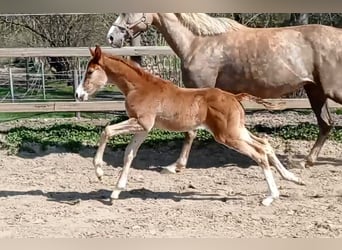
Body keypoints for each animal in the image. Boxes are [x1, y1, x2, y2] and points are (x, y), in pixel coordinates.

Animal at [75, 46, 304, 206]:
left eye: (90, 72)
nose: (78, 95)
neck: (139, 87)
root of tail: (235, 97)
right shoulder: (144, 129)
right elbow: (129, 154)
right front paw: (116, 191)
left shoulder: (141, 122)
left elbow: (107, 131)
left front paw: (99, 171)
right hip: (237, 130)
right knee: (264, 144)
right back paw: (293, 179)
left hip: (227, 135)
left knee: (259, 154)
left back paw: (270, 197)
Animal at [107, 14, 342, 170]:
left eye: (127, 11)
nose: (111, 37)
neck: (197, 42)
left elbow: (190, 131)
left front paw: (177, 165)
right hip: (315, 91)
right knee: (326, 124)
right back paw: (306, 162)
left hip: (330, 91)